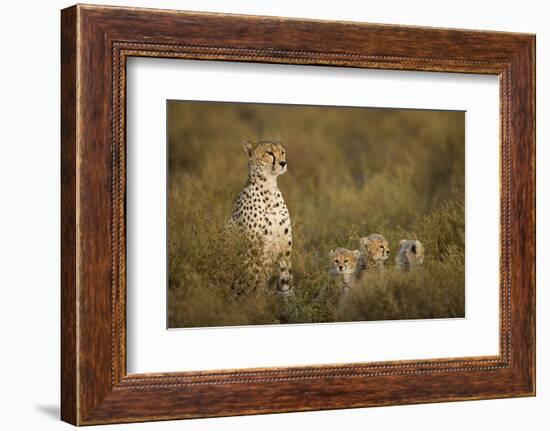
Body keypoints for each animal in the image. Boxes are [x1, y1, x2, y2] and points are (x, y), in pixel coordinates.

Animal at [231, 140, 296, 296]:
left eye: (283, 152)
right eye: (269, 153)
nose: (283, 163)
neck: (269, 189)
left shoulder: (285, 251)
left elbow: (287, 282)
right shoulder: (253, 251)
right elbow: (253, 280)